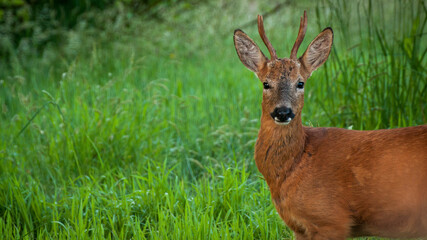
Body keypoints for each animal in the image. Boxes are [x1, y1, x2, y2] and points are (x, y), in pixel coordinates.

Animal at [234, 10, 427, 238]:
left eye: (300, 83)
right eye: (266, 83)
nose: (282, 112)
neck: (297, 161)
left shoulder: (331, 220)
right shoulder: (299, 228)